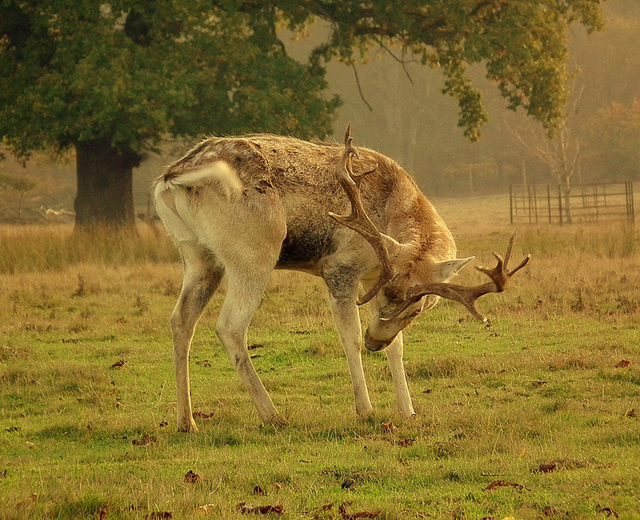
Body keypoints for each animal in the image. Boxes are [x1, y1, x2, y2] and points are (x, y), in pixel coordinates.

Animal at [155, 126, 528, 430]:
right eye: (388, 296)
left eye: (418, 308)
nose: (375, 342)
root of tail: (171, 178)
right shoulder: (339, 267)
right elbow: (349, 337)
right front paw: (366, 410)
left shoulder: (370, 278)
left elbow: (398, 347)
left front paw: (408, 411)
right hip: (255, 249)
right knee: (230, 325)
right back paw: (273, 415)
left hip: (197, 254)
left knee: (180, 319)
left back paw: (187, 421)